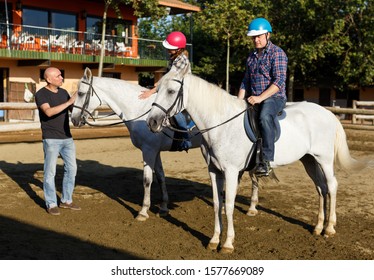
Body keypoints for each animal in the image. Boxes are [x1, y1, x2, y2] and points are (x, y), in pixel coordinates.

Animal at [68, 67, 200, 221]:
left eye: (81, 93)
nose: (74, 119)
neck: (140, 109)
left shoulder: (148, 150)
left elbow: (147, 180)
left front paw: (143, 211)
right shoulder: (156, 151)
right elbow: (160, 177)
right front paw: (163, 208)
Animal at [147, 71, 372, 254]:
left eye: (171, 91)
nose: (152, 122)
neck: (221, 124)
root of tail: (329, 114)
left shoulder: (231, 171)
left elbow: (229, 205)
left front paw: (227, 244)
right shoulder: (214, 171)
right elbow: (217, 205)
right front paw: (214, 240)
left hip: (324, 159)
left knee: (332, 186)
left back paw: (330, 228)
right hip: (309, 160)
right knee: (321, 188)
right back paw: (318, 227)